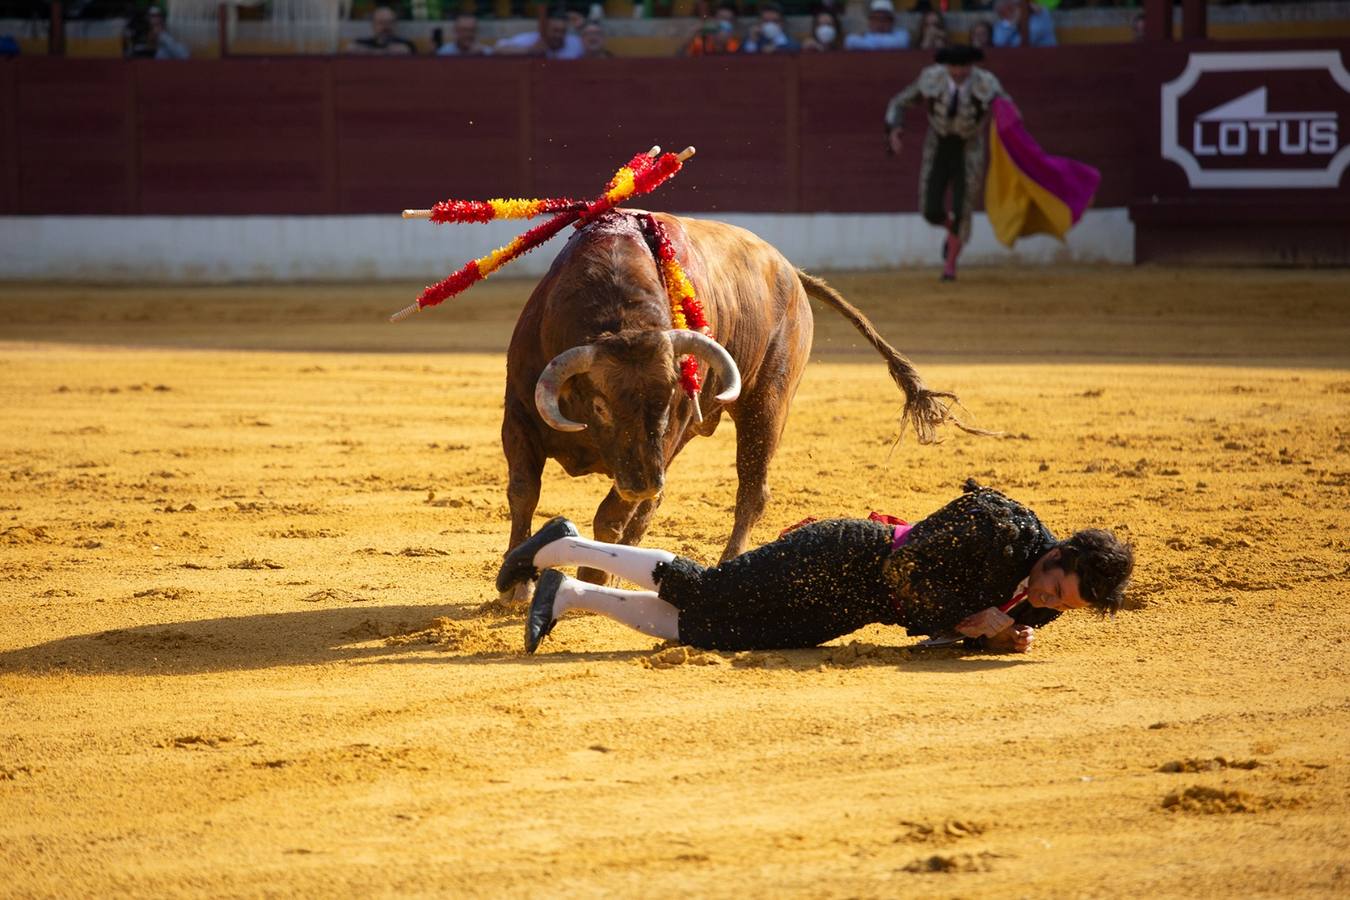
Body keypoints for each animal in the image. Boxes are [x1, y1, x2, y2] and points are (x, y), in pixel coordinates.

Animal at [502, 207, 966, 593]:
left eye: (669, 396)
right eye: (600, 405)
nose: (644, 480)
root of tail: (790, 270)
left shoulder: (663, 437)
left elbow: (611, 513)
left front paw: (593, 576)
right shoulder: (519, 416)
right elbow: (524, 492)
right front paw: (517, 580)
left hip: (767, 404)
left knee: (750, 491)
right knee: (655, 503)